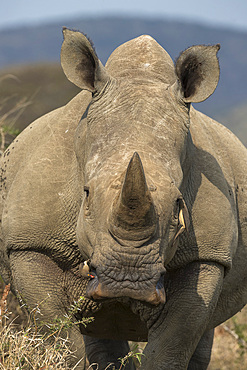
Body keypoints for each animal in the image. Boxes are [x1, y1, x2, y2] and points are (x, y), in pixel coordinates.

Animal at [0, 27, 247, 368]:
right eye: (86, 194)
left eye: (178, 205)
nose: (128, 279)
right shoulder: (30, 244)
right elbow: (62, 337)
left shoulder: (209, 255)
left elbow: (172, 346)